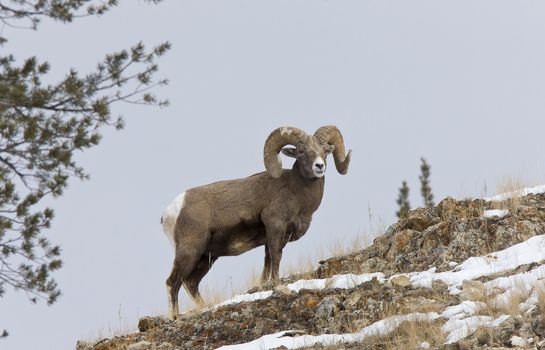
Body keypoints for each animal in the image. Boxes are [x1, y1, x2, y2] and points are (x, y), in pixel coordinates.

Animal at [159, 126, 350, 320]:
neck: (296, 192)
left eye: (325, 151)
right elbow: (276, 257)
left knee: (190, 283)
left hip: (206, 257)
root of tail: (170, 212)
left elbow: (267, 262)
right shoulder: (275, 226)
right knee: (172, 282)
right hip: (190, 251)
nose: (319, 166)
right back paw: (174, 317)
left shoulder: (274, 237)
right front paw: (278, 286)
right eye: (301, 152)